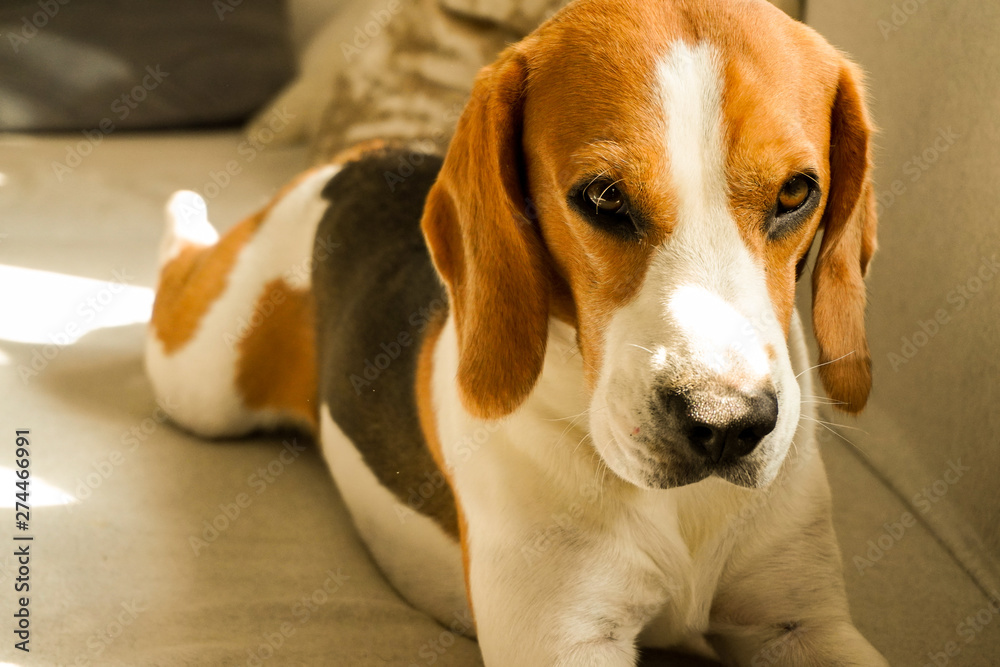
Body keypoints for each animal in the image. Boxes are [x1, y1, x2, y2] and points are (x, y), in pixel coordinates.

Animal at [146, 2, 884, 664]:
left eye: (795, 193)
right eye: (604, 196)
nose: (727, 423)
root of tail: (362, 156)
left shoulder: (804, 623)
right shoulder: (562, 640)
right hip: (202, 380)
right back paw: (182, 215)